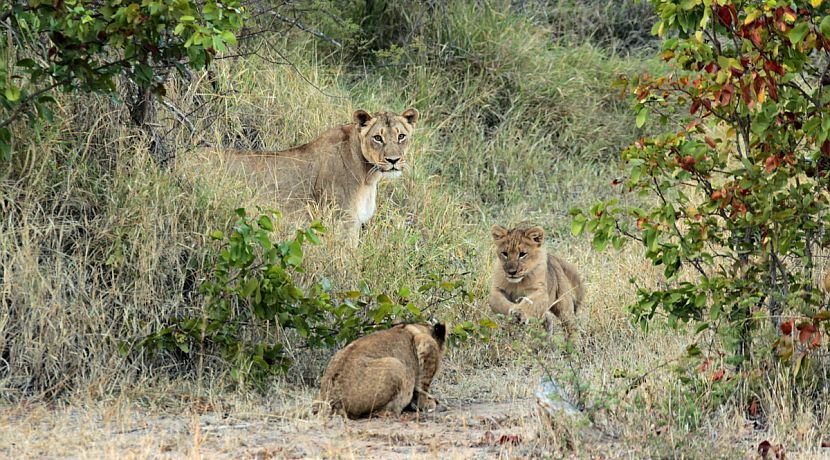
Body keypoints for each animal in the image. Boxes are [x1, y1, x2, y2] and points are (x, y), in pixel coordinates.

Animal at [317, 322, 447, 419]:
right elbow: (423, 387)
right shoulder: (426, 343)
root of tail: (332, 398)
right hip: (396, 365)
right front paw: (428, 404)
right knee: (381, 412)